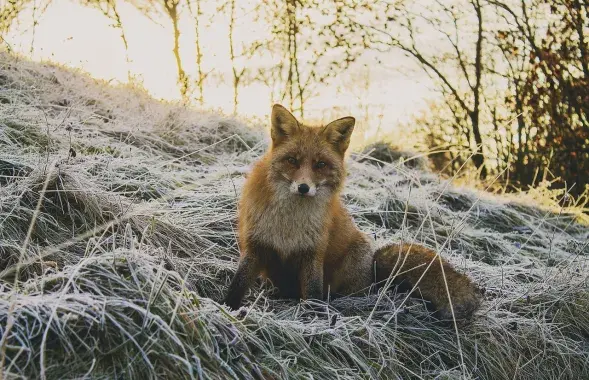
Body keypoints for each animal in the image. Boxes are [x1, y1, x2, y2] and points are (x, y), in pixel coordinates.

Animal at [223, 104, 480, 320]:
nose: (304, 188)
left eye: (320, 165)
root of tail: (373, 274)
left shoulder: (313, 253)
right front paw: (227, 309)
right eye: (292, 160)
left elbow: (313, 293)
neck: (289, 222)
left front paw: (314, 317)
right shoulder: (256, 245)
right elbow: (238, 283)